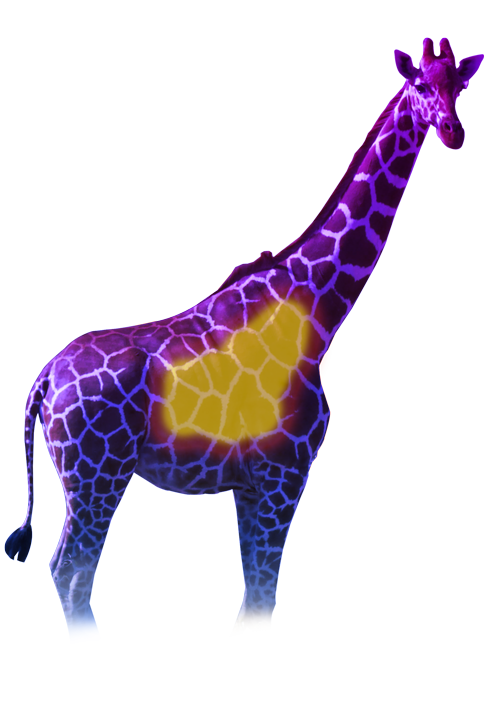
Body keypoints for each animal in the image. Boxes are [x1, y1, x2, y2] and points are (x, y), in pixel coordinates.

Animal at [5, 39, 482, 637]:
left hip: (86, 479)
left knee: (64, 570)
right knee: (72, 572)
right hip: (98, 474)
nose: (453, 131)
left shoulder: (253, 483)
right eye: (420, 83)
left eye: (458, 85)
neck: (319, 306)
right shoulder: (284, 474)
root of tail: (46, 378)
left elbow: (252, 608)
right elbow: (263, 601)